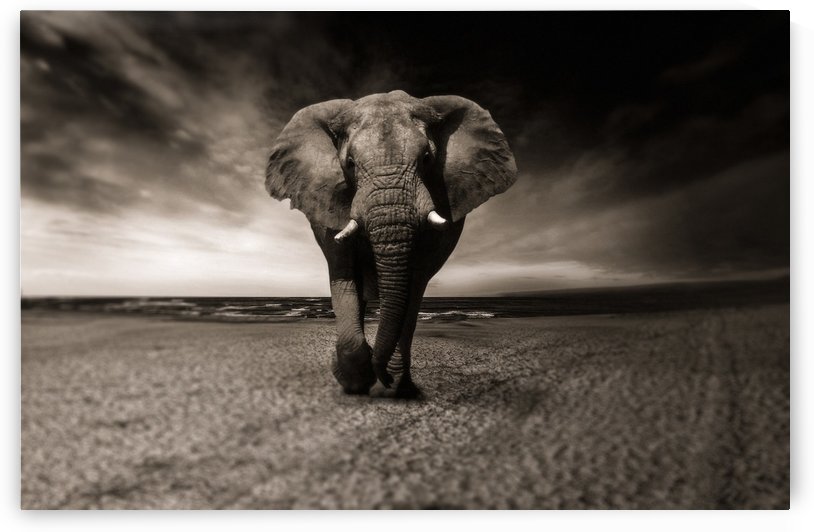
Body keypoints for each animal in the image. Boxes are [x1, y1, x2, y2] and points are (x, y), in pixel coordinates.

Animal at [265, 90, 517, 398]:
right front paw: (355, 381)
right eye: (349, 164)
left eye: (427, 158)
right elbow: (343, 274)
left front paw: (391, 383)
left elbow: (414, 282)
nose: (381, 376)